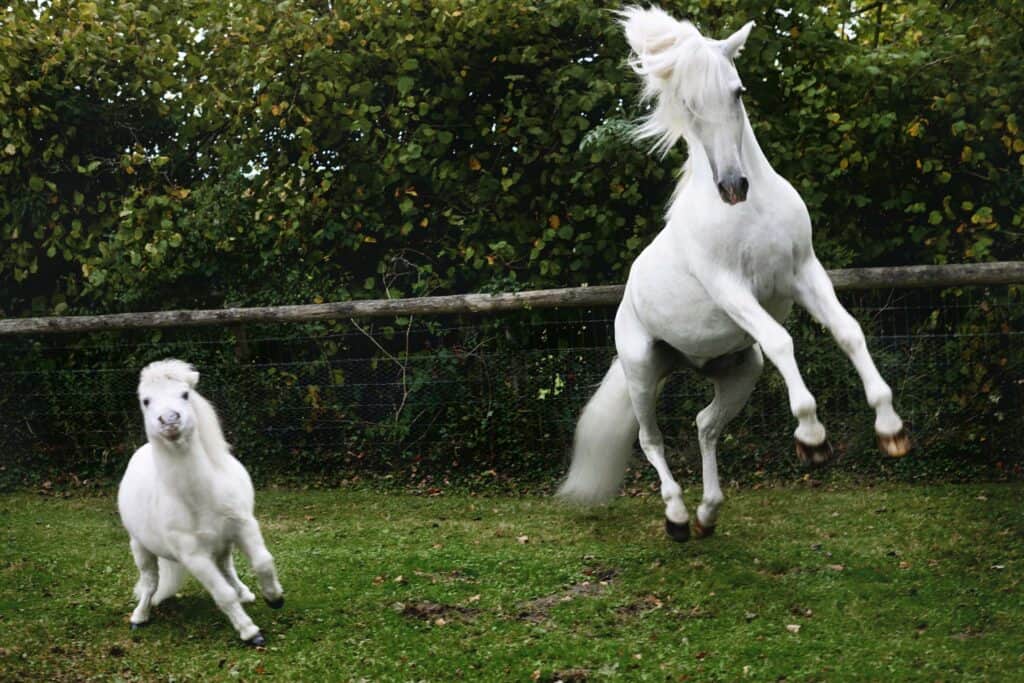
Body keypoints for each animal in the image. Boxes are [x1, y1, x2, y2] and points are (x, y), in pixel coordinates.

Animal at [117, 360, 282, 643]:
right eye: (146, 401)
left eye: (185, 394)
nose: (170, 421)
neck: (200, 497)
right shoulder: (194, 556)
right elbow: (223, 595)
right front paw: (250, 632)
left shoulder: (244, 527)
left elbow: (263, 562)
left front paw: (274, 598)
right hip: (140, 547)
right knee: (150, 583)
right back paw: (140, 616)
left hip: (223, 544)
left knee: (227, 569)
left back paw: (246, 593)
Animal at [561, 5, 913, 540]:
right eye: (688, 102)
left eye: (738, 91)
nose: (733, 187)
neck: (752, 212)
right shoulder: (732, 290)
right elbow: (783, 341)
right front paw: (812, 440)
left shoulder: (805, 272)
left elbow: (849, 332)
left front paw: (891, 431)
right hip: (642, 370)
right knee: (651, 439)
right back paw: (677, 518)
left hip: (738, 369)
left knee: (705, 425)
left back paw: (707, 514)